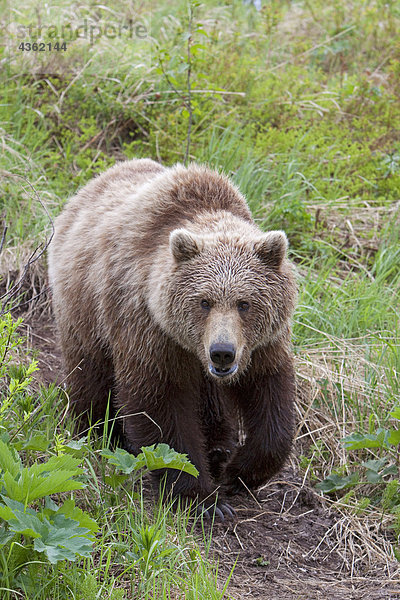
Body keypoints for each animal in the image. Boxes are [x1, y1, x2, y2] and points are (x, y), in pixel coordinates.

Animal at [47, 158, 296, 516]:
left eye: (244, 303)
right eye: (204, 302)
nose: (222, 352)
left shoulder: (262, 344)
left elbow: (269, 395)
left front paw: (237, 474)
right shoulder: (147, 326)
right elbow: (160, 405)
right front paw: (203, 498)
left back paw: (218, 448)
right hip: (85, 310)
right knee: (90, 373)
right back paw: (99, 432)